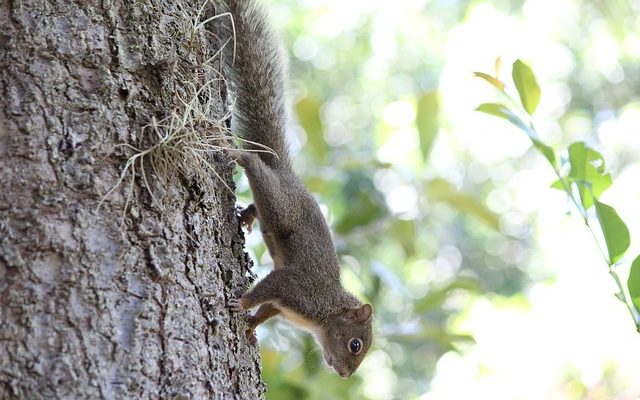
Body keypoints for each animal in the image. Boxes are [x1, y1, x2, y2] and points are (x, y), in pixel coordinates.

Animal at [216, 0, 372, 378]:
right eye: (355, 344)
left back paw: (248, 216)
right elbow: (267, 288)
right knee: (254, 165)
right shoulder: (295, 288)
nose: (345, 375)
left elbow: (266, 311)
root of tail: (287, 173)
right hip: (280, 202)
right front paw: (240, 303)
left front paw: (251, 326)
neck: (324, 314)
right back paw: (234, 152)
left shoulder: (283, 306)